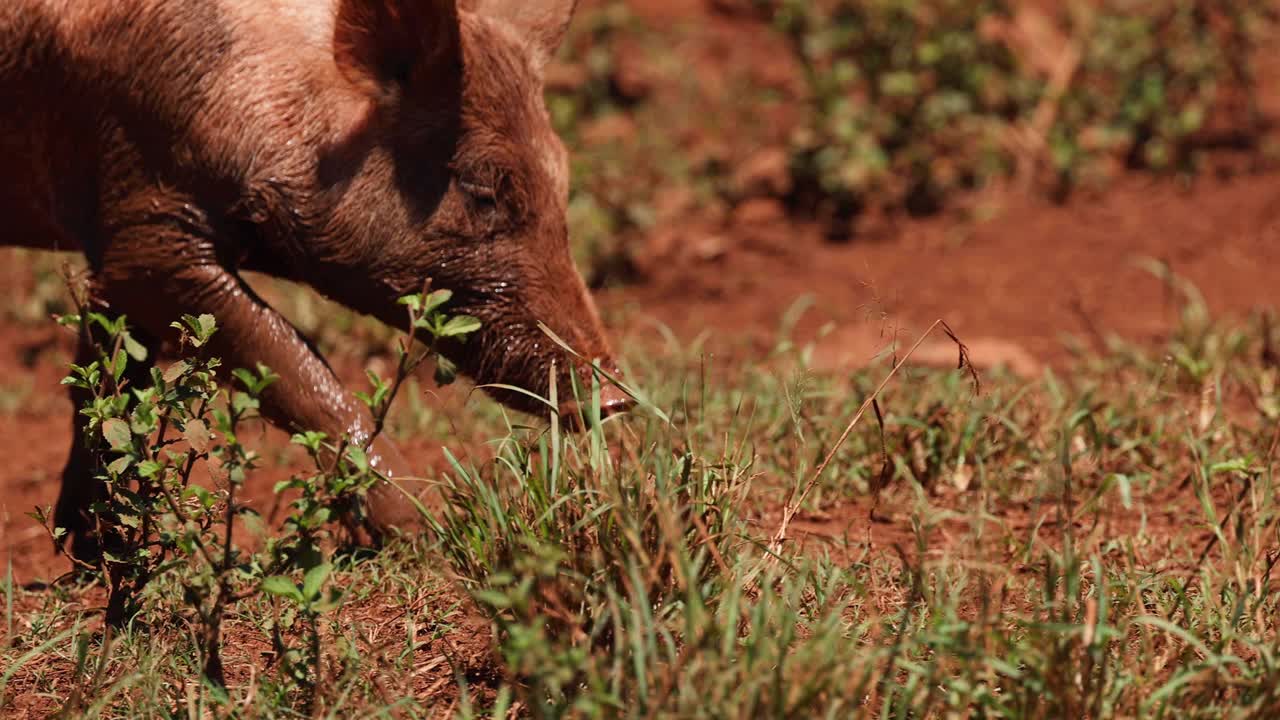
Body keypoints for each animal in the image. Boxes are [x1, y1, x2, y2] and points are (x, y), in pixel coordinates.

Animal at [0, 0, 629, 556]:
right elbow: (290, 360)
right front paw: (426, 528)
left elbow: (108, 383)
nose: (616, 396)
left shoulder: (114, 256)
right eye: (482, 189)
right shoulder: (144, 219)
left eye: (563, 178)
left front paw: (95, 549)